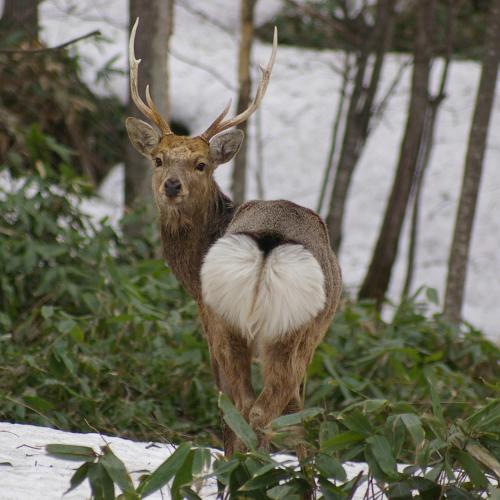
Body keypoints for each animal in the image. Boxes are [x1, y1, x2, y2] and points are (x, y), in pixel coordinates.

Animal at [126, 18, 344, 458]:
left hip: (252, 325)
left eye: (201, 164)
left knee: (247, 407)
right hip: (280, 332)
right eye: (158, 159)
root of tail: (268, 243)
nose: (172, 186)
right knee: (264, 409)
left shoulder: (206, 317)